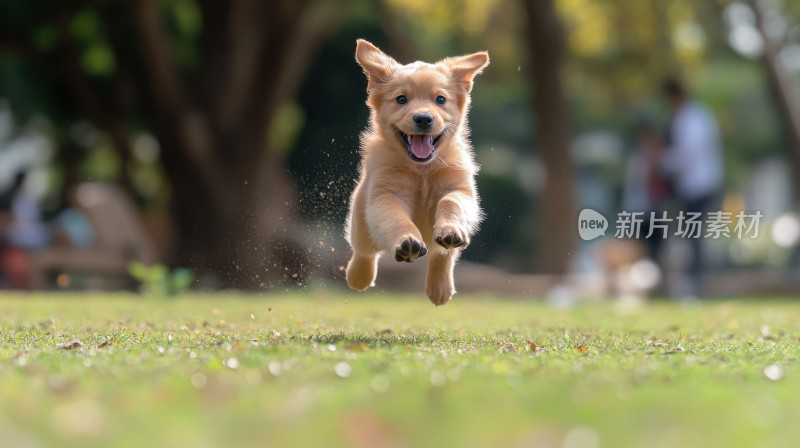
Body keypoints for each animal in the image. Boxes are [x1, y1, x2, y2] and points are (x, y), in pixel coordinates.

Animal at [344, 39, 488, 304]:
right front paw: (407, 240)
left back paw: (439, 287)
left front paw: (450, 229)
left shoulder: (460, 189)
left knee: (443, 252)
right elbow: (396, 219)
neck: (422, 171)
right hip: (361, 219)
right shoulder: (384, 195)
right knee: (364, 252)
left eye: (440, 99)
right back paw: (358, 278)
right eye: (401, 99)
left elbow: (451, 201)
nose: (423, 118)